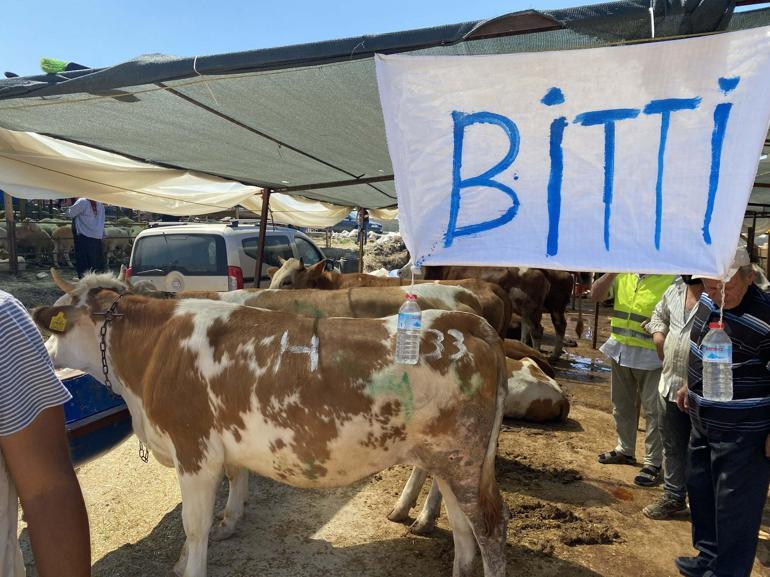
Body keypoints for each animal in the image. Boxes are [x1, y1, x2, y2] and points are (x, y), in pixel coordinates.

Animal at [36, 272, 508, 576]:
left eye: (54, 325)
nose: (45, 354)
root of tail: (462, 320)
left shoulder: (195, 452)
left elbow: (194, 526)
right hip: (448, 460)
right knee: (462, 529)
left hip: (464, 461)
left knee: (490, 528)